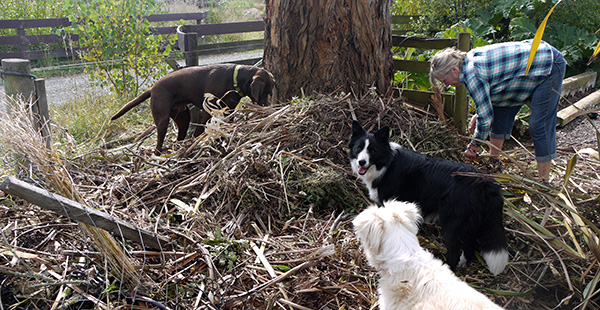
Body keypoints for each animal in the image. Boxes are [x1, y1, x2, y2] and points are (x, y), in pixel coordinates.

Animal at [111, 64, 276, 153]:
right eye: (264, 92)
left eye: (269, 92)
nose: (268, 108)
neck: (234, 79)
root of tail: (152, 89)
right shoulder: (206, 112)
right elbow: (198, 132)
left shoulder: (228, 112)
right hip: (163, 121)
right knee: (158, 144)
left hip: (183, 118)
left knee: (179, 138)